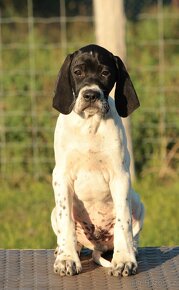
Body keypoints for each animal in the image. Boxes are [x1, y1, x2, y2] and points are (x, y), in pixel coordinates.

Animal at [50, 44, 144, 278]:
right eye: (77, 72)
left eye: (105, 73)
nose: (91, 95)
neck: (90, 125)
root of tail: (98, 244)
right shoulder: (61, 177)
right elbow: (66, 221)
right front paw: (66, 259)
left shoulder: (120, 176)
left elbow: (123, 221)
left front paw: (124, 260)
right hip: (54, 212)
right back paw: (67, 249)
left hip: (138, 202)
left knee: (130, 232)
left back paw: (131, 249)